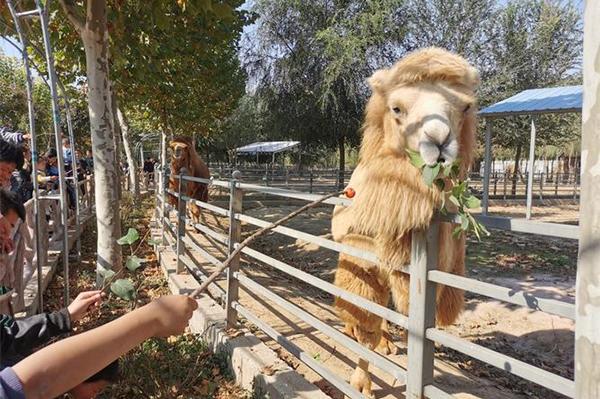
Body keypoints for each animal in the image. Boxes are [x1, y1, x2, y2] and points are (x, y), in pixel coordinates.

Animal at [330, 47, 480, 396]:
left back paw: (388, 342)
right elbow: (365, 327)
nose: (438, 141)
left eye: (465, 106)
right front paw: (362, 385)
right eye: (396, 108)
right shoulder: (361, 256)